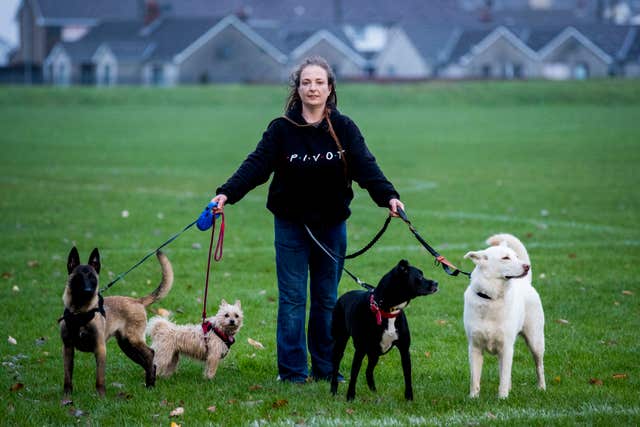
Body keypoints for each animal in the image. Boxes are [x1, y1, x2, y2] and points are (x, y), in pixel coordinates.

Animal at [59, 247, 172, 398]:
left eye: (92, 277)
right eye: (78, 277)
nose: (88, 291)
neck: (80, 313)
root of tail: (137, 301)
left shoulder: (100, 348)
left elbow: (100, 378)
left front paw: (101, 397)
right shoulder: (68, 348)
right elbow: (67, 376)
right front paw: (67, 396)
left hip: (133, 341)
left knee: (150, 354)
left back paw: (150, 385)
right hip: (127, 346)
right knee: (150, 362)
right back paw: (150, 383)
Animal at [330, 260, 440, 402]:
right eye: (420, 276)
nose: (436, 282)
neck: (387, 310)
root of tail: (343, 296)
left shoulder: (404, 350)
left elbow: (407, 375)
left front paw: (409, 398)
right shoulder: (360, 350)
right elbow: (354, 374)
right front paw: (350, 397)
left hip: (374, 353)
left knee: (368, 371)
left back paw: (374, 391)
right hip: (340, 342)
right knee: (336, 366)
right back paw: (333, 390)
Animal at [462, 234, 548, 398]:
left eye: (516, 256)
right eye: (505, 258)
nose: (527, 266)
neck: (491, 298)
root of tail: (525, 283)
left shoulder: (507, 347)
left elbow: (503, 377)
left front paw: (502, 398)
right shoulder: (474, 348)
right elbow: (474, 378)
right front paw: (473, 398)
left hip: (536, 341)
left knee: (539, 366)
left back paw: (542, 388)